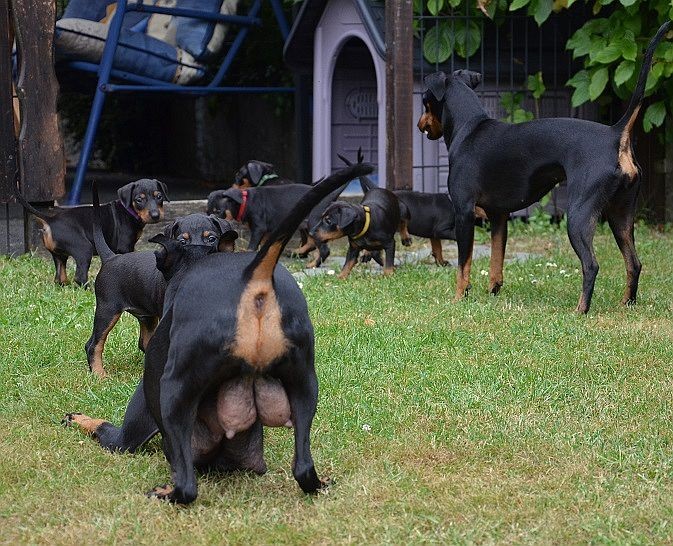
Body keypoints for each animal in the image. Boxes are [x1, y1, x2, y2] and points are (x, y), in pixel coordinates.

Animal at [15, 178, 168, 286]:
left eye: (159, 197)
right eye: (139, 199)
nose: (155, 215)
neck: (128, 210)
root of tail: (50, 220)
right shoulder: (125, 247)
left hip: (59, 254)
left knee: (60, 277)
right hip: (83, 248)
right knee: (79, 277)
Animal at [86, 183, 237, 378]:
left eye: (211, 239)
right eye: (182, 241)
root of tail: (111, 257)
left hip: (146, 316)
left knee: (144, 342)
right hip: (107, 309)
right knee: (94, 344)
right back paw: (99, 375)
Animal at [418, 22, 671, 313]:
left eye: (424, 102)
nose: (419, 124)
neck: (471, 127)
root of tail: (615, 133)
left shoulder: (464, 213)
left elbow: (463, 264)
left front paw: (459, 298)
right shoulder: (499, 216)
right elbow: (496, 261)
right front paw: (493, 292)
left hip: (579, 215)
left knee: (591, 265)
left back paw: (580, 311)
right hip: (620, 217)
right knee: (634, 263)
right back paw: (626, 304)